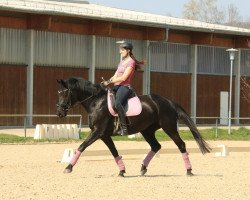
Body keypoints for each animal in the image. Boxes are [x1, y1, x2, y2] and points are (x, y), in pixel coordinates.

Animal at [56, 76, 211, 177]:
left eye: (65, 93)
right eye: (59, 93)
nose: (59, 113)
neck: (96, 102)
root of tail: (169, 102)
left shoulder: (97, 132)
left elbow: (82, 146)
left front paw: (68, 167)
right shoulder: (104, 135)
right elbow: (114, 152)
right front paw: (122, 171)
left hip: (169, 128)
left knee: (181, 145)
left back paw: (189, 170)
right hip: (147, 131)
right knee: (156, 146)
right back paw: (143, 168)